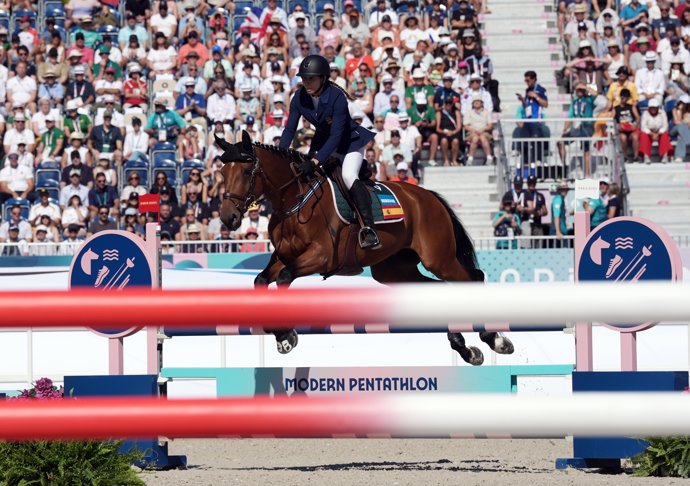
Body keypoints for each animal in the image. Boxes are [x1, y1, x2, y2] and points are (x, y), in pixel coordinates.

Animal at [215, 131, 510, 366]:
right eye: (222, 173)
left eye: (245, 172)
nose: (228, 218)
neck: (295, 201)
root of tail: (429, 197)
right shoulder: (283, 256)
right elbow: (261, 280)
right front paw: (281, 335)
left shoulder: (321, 256)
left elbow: (286, 277)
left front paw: (287, 335)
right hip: (393, 270)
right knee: (441, 289)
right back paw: (465, 348)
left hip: (439, 259)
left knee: (474, 278)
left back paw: (495, 339)